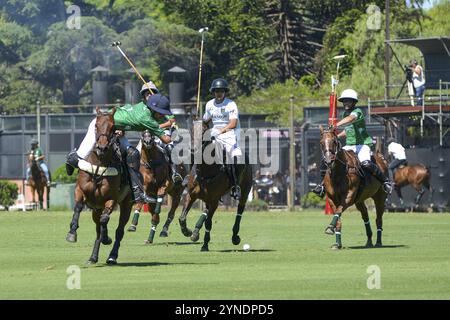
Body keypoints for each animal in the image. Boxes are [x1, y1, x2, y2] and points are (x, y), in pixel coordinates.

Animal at [64, 107, 134, 264]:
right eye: (96, 126)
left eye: (113, 127)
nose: (102, 147)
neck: (98, 166)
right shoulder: (80, 190)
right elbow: (78, 206)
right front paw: (72, 232)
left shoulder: (111, 199)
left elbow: (105, 219)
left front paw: (106, 237)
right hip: (96, 208)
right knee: (98, 228)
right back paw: (93, 257)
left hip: (127, 204)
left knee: (118, 230)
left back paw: (112, 255)